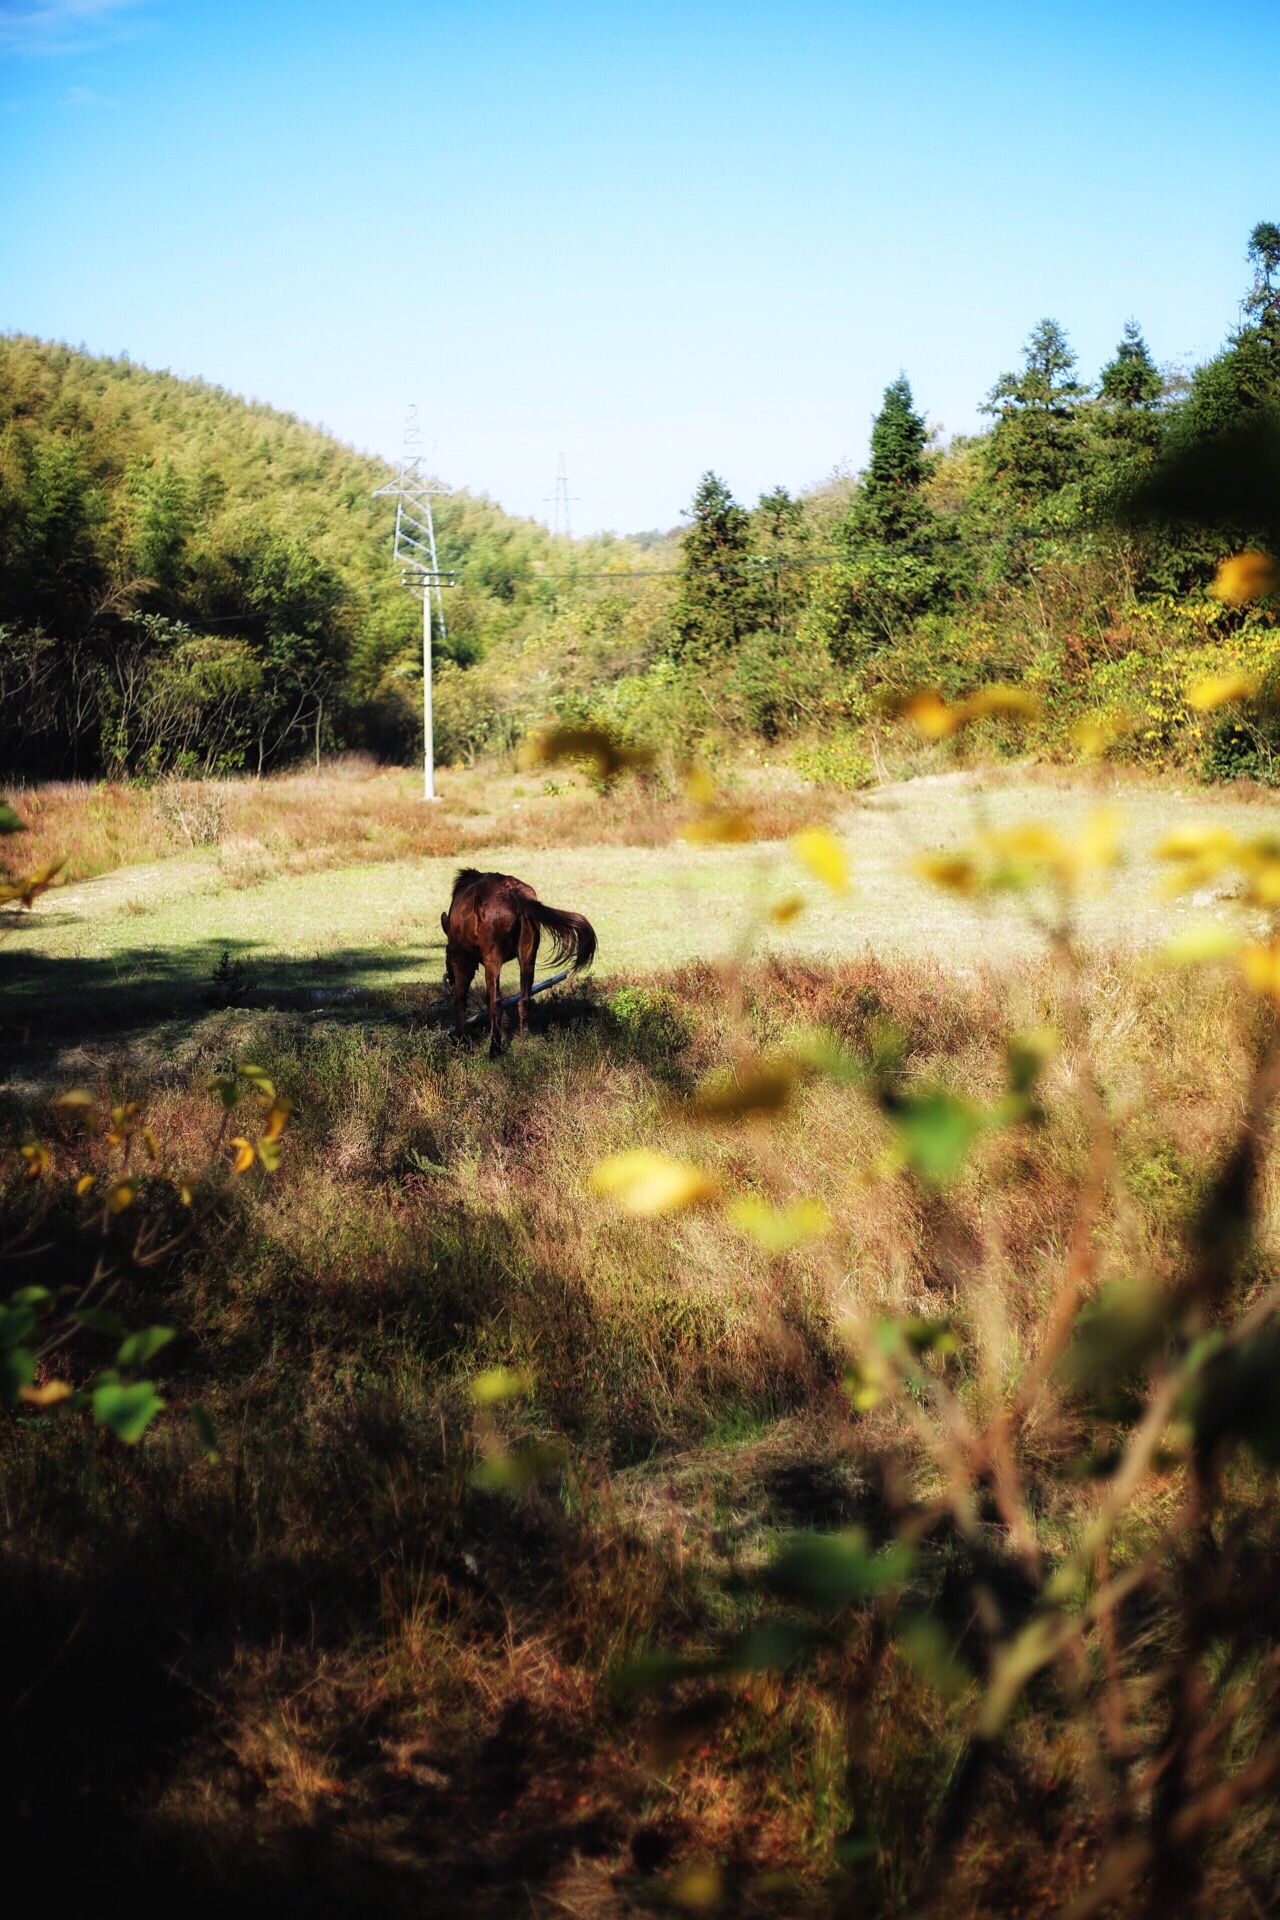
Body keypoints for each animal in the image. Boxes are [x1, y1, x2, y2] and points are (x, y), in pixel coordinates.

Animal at [441, 867, 602, 1059]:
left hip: (493, 956)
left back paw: (494, 1049)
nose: (448, 979)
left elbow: (460, 999)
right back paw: (525, 1047)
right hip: (528, 954)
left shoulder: (461, 958)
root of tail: (516, 897)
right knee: (524, 999)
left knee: (495, 1001)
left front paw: (460, 1041)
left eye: (447, 954)